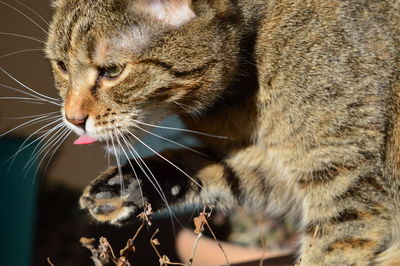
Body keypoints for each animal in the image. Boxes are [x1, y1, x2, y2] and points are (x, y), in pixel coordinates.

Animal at [44, 0, 400, 264]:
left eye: (112, 71)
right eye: (61, 66)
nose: (72, 118)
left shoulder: (345, 187)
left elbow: (329, 249)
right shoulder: (278, 172)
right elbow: (221, 170)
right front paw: (131, 183)